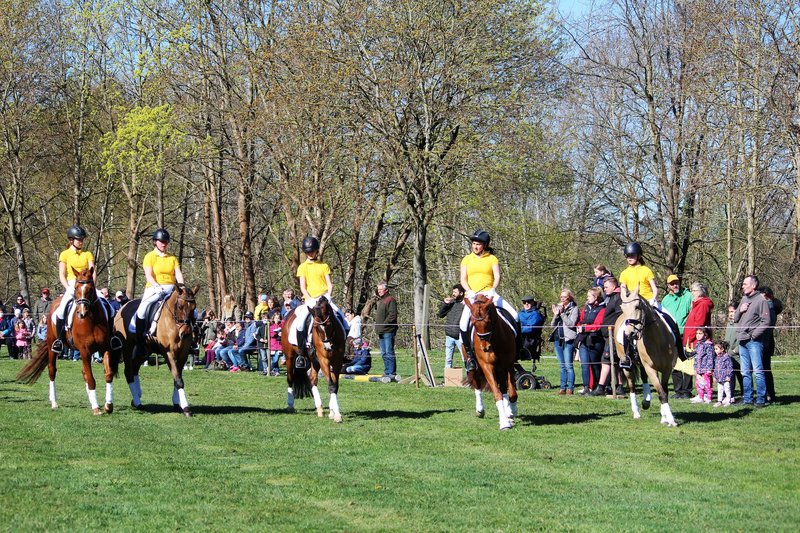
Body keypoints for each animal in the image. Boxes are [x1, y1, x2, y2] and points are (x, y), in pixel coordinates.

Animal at [17, 266, 119, 415]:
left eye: (90, 288)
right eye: (76, 288)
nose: (82, 313)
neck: (92, 320)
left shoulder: (105, 348)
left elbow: (108, 374)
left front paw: (108, 405)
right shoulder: (85, 350)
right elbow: (91, 379)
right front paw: (96, 409)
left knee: (84, 373)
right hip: (52, 346)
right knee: (52, 371)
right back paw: (54, 402)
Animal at [113, 285, 199, 416]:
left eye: (194, 308)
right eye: (180, 306)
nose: (186, 333)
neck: (173, 323)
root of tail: (122, 308)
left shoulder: (183, 353)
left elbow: (177, 377)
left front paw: (177, 403)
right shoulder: (168, 353)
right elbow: (178, 379)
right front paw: (186, 408)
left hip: (145, 351)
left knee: (134, 368)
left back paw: (136, 397)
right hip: (127, 347)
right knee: (128, 372)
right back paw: (138, 402)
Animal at [462, 295, 518, 430]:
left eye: (488, 321)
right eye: (473, 322)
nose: (485, 348)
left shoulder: (508, 365)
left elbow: (511, 393)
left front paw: (511, 414)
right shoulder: (487, 366)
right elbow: (497, 394)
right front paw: (504, 423)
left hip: (501, 369)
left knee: (504, 389)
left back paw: (508, 412)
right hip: (475, 367)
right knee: (477, 384)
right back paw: (480, 410)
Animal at [614, 285, 679, 426]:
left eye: (637, 306)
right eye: (622, 308)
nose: (629, 334)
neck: (657, 340)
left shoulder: (667, 369)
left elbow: (664, 391)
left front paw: (665, 417)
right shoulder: (651, 368)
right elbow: (661, 392)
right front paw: (670, 419)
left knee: (643, 378)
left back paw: (646, 400)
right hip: (627, 366)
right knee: (632, 386)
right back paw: (636, 412)